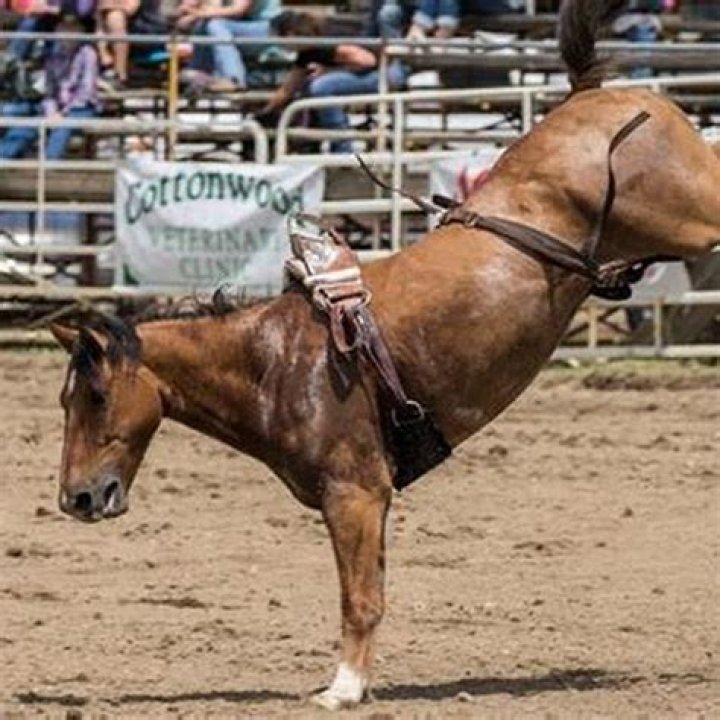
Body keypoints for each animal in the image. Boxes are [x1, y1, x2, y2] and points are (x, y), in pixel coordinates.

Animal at [49, 0, 719, 710]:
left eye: (96, 394)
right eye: (66, 399)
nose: (77, 499)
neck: (276, 364)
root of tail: (594, 95)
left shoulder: (356, 494)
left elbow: (359, 598)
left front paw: (341, 689)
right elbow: (370, 590)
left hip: (694, 215)